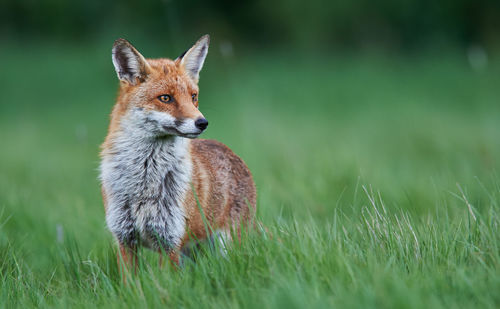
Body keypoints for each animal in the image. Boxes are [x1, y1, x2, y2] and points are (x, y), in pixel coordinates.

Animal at [99, 35, 256, 270]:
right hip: (192, 252)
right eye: (165, 98)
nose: (202, 122)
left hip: (225, 245)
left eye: (193, 97)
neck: (145, 179)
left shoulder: (170, 241)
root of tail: (229, 151)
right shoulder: (125, 239)